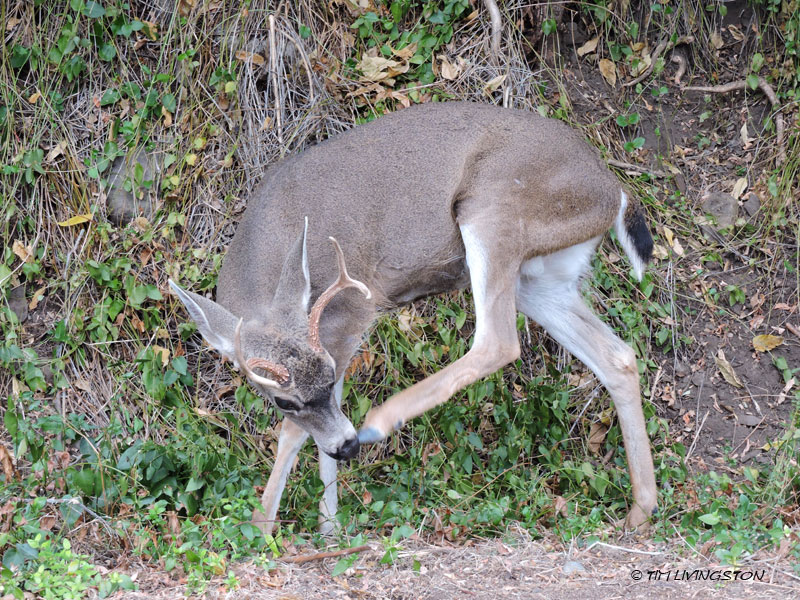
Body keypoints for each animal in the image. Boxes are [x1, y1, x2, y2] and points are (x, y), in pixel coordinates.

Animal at [169, 101, 658, 537]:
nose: (349, 445)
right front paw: (329, 528)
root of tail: (614, 191)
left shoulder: (352, 308)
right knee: (618, 355)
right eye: (282, 398)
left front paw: (263, 526)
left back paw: (382, 420)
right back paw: (640, 512)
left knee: (498, 341)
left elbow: (294, 432)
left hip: (493, 210)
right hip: (541, 278)